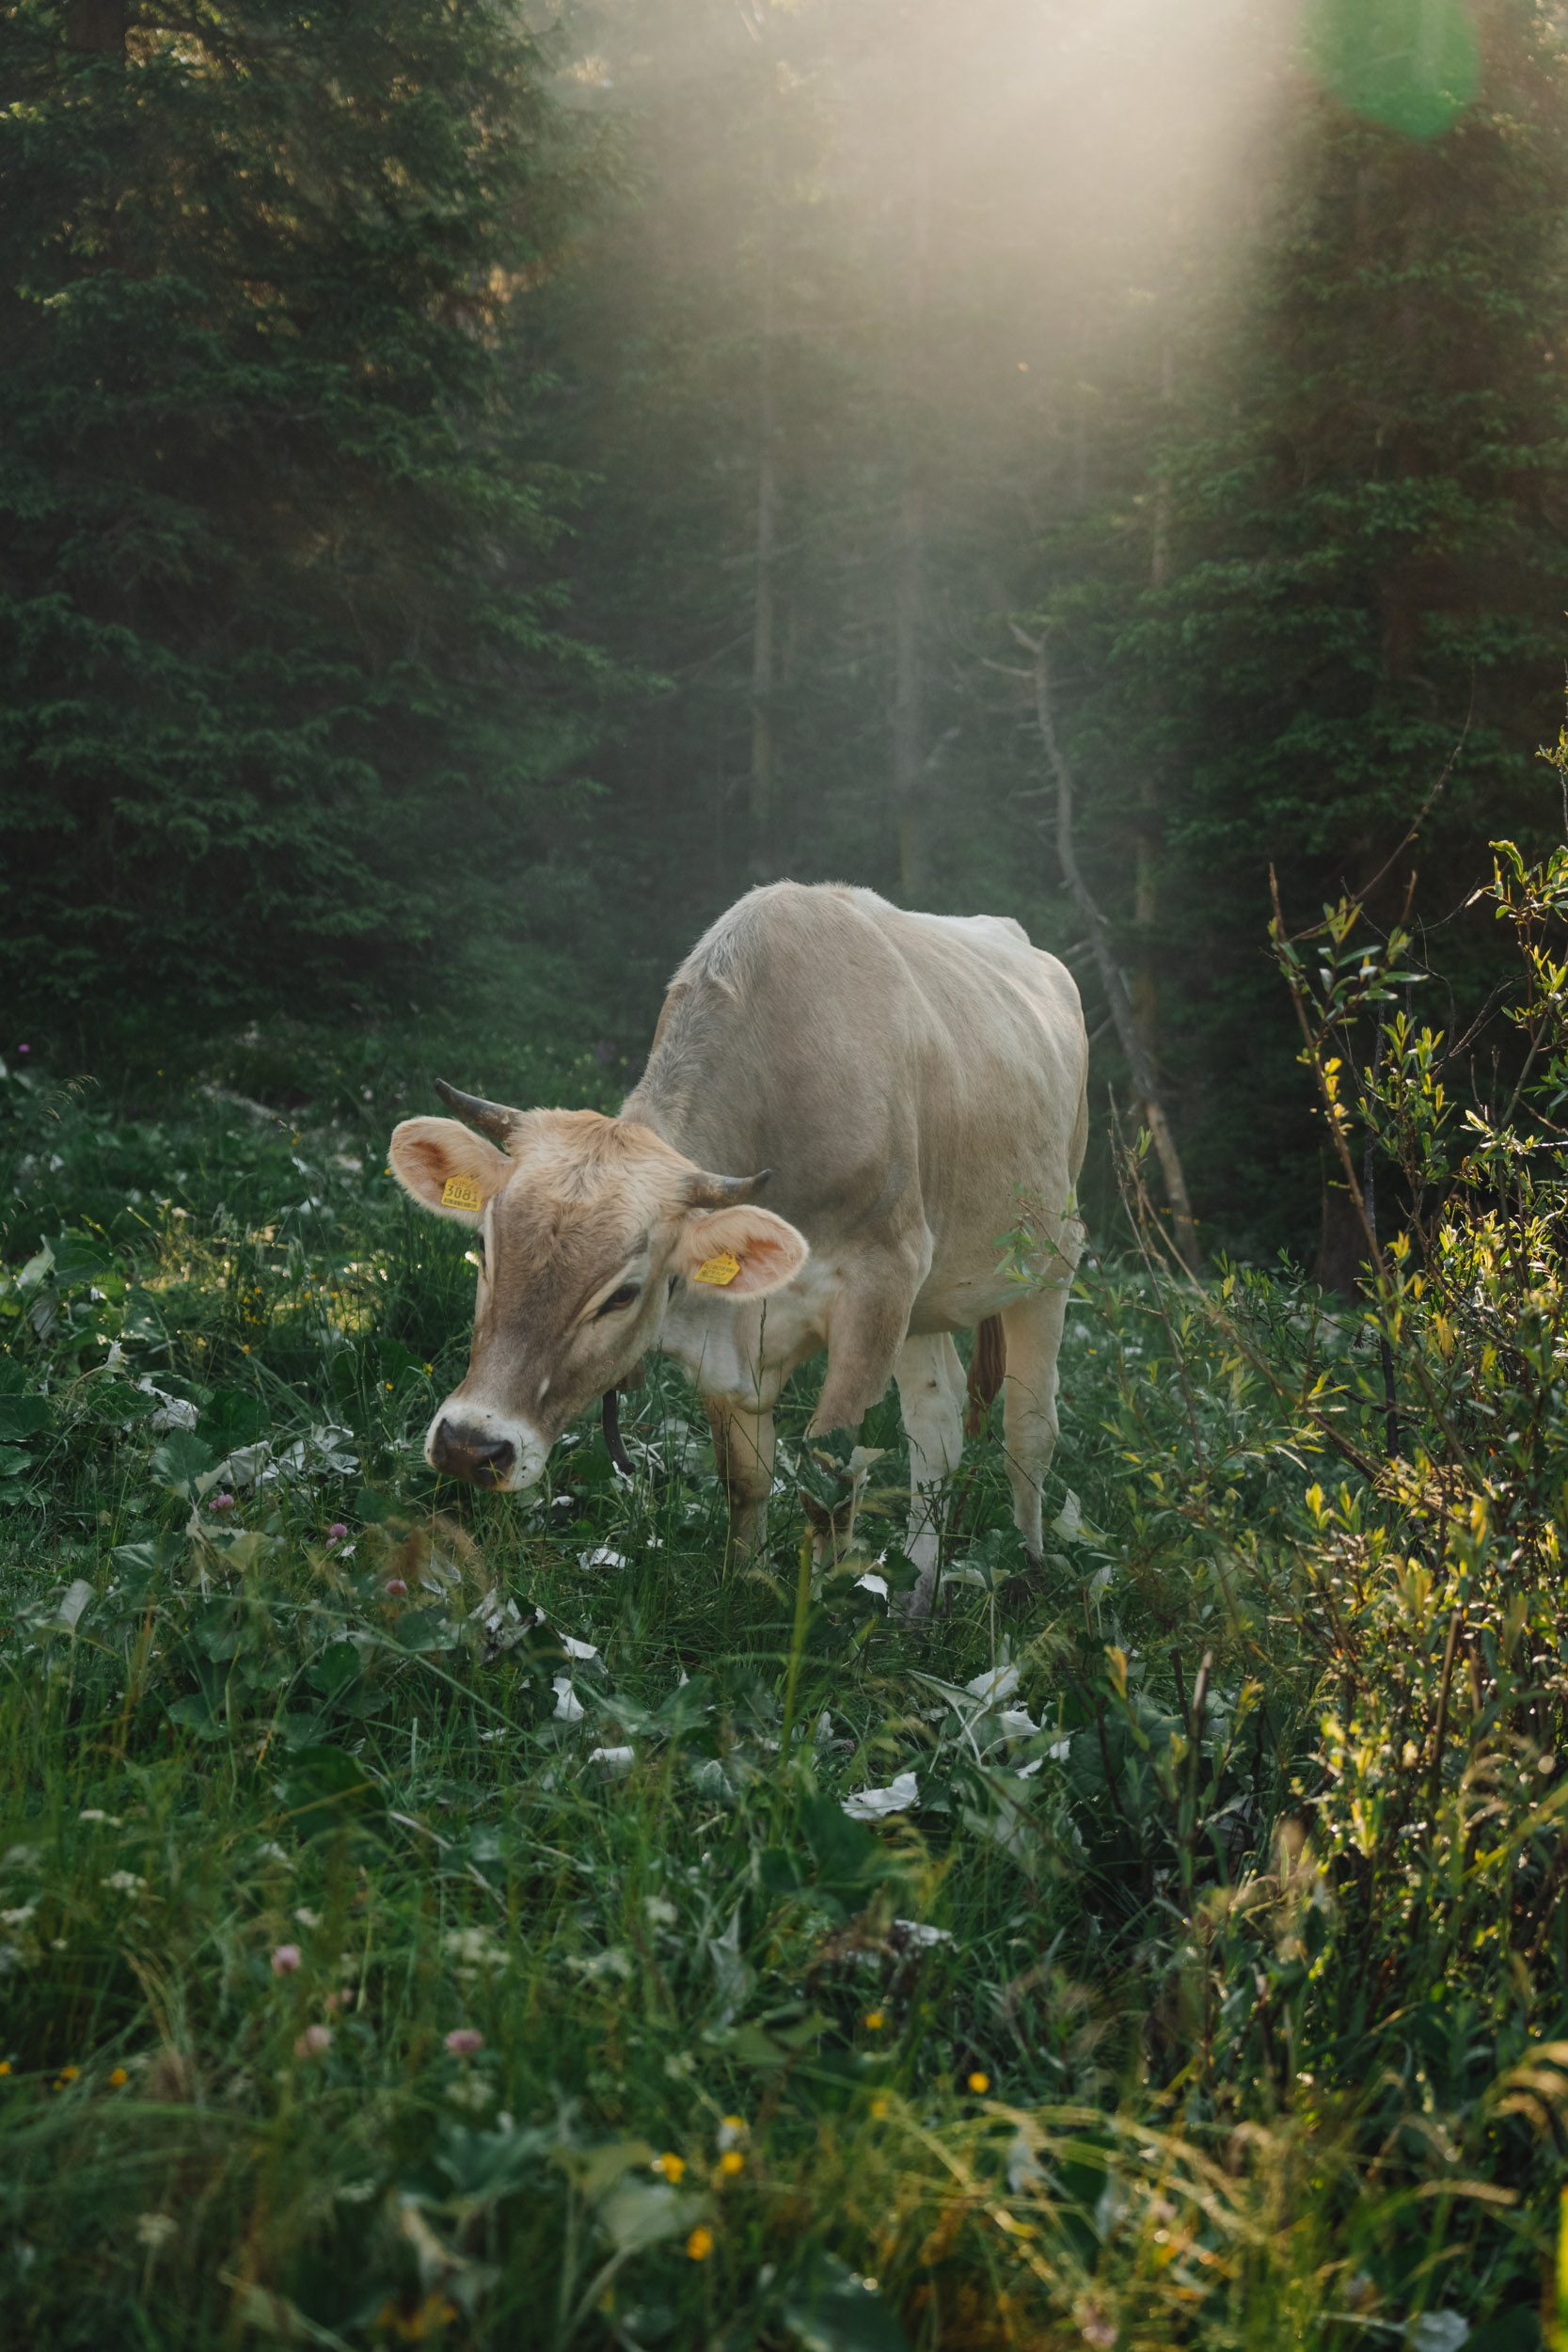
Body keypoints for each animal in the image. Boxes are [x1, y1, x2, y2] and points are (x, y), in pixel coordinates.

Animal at [385, 884, 1085, 1618]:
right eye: (485, 1250)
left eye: (624, 1292)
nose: (470, 1446)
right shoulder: (728, 1331)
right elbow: (745, 1478)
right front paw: (742, 1586)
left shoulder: (878, 1286)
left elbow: (828, 1482)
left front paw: (825, 1612)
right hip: (928, 1303)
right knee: (937, 1424)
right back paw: (919, 1592)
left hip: (1050, 1262)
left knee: (1028, 1430)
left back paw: (1029, 1567)